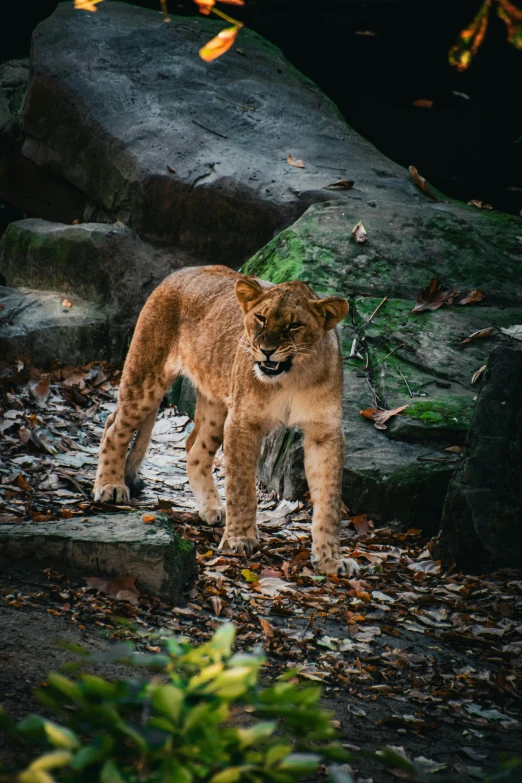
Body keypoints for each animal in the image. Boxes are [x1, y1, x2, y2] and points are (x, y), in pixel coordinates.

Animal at [93, 266, 358, 580]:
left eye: (295, 325)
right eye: (261, 318)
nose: (266, 350)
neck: (293, 376)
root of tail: (178, 273)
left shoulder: (324, 433)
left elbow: (328, 500)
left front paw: (331, 559)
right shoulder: (243, 422)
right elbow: (241, 487)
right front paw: (239, 540)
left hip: (215, 403)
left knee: (194, 450)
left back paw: (210, 508)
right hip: (146, 375)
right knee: (114, 426)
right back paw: (110, 486)